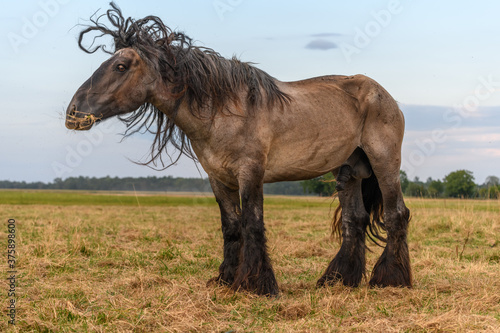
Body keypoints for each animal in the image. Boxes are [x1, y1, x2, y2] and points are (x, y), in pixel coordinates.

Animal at [65, 3, 410, 294]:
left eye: (121, 66)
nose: (73, 114)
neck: (224, 110)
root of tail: (384, 95)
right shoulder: (218, 178)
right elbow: (231, 227)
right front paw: (226, 279)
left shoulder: (250, 173)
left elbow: (252, 223)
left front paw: (258, 284)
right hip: (348, 171)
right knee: (355, 220)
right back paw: (338, 280)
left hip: (384, 163)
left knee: (397, 214)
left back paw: (391, 280)